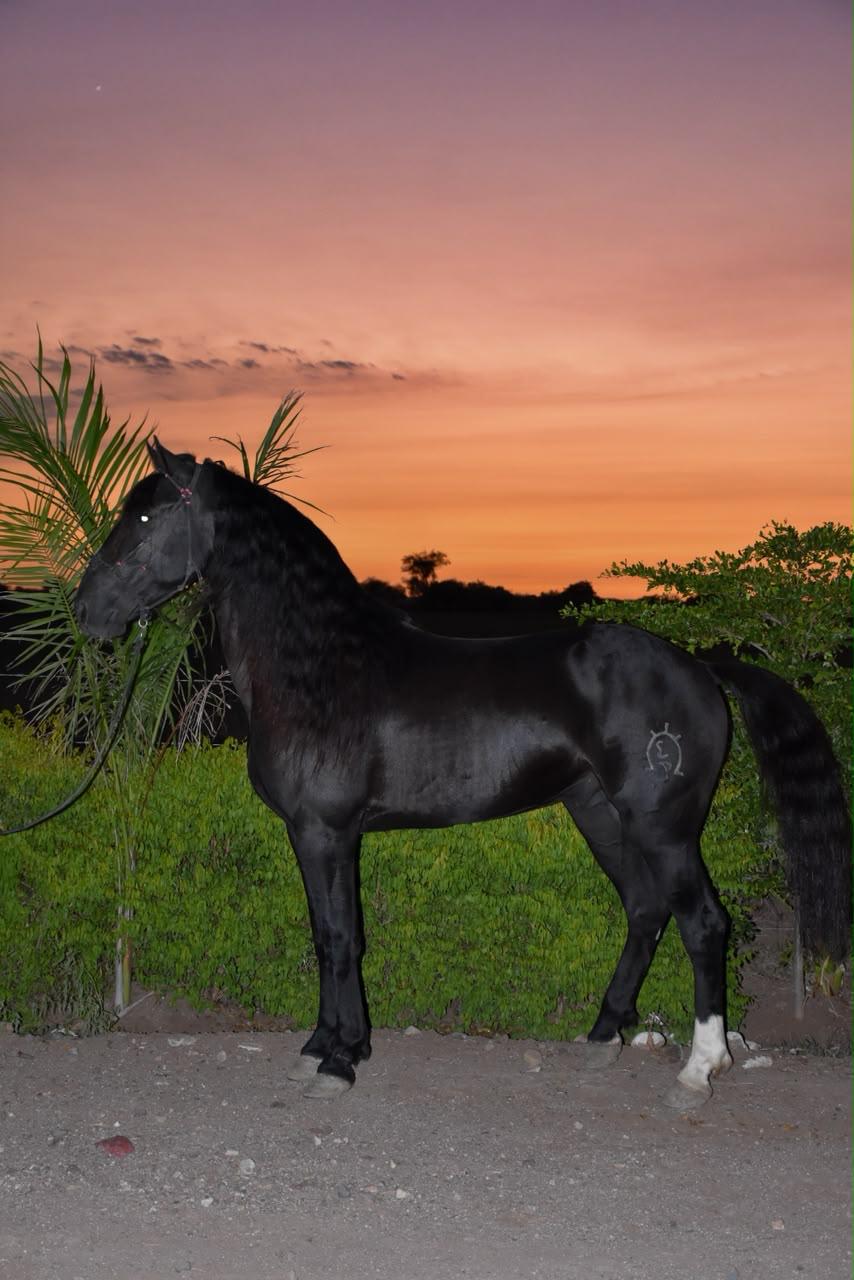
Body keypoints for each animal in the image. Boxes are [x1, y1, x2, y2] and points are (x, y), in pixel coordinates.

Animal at [75, 441, 851, 1106]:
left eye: (144, 516)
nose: (85, 610)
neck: (323, 669)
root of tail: (701, 667)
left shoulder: (326, 832)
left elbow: (339, 938)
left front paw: (337, 1060)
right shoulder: (319, 837)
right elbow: (329, 935)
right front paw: (329, 1045)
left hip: (664, 827)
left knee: (703, 923)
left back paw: (697, 1071)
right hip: (599, 813)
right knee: (645, 909)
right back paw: (603, 1036)